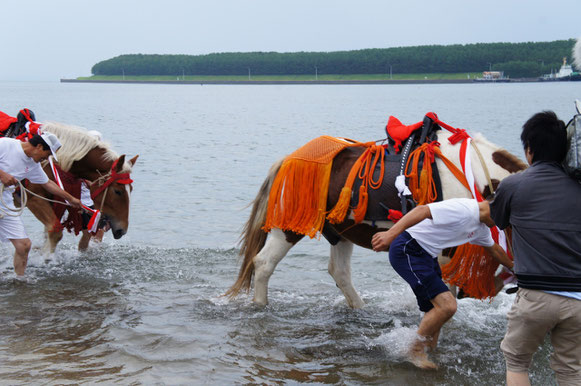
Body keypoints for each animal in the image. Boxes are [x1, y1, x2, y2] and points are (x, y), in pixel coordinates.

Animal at [227, 126, 524, 308]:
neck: (475, 174)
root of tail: (287, 160)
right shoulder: (448, 245)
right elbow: (446, 289)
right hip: (288, 228)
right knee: (264, 263)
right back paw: (261, 305)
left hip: (340, 231)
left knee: (340, 273)